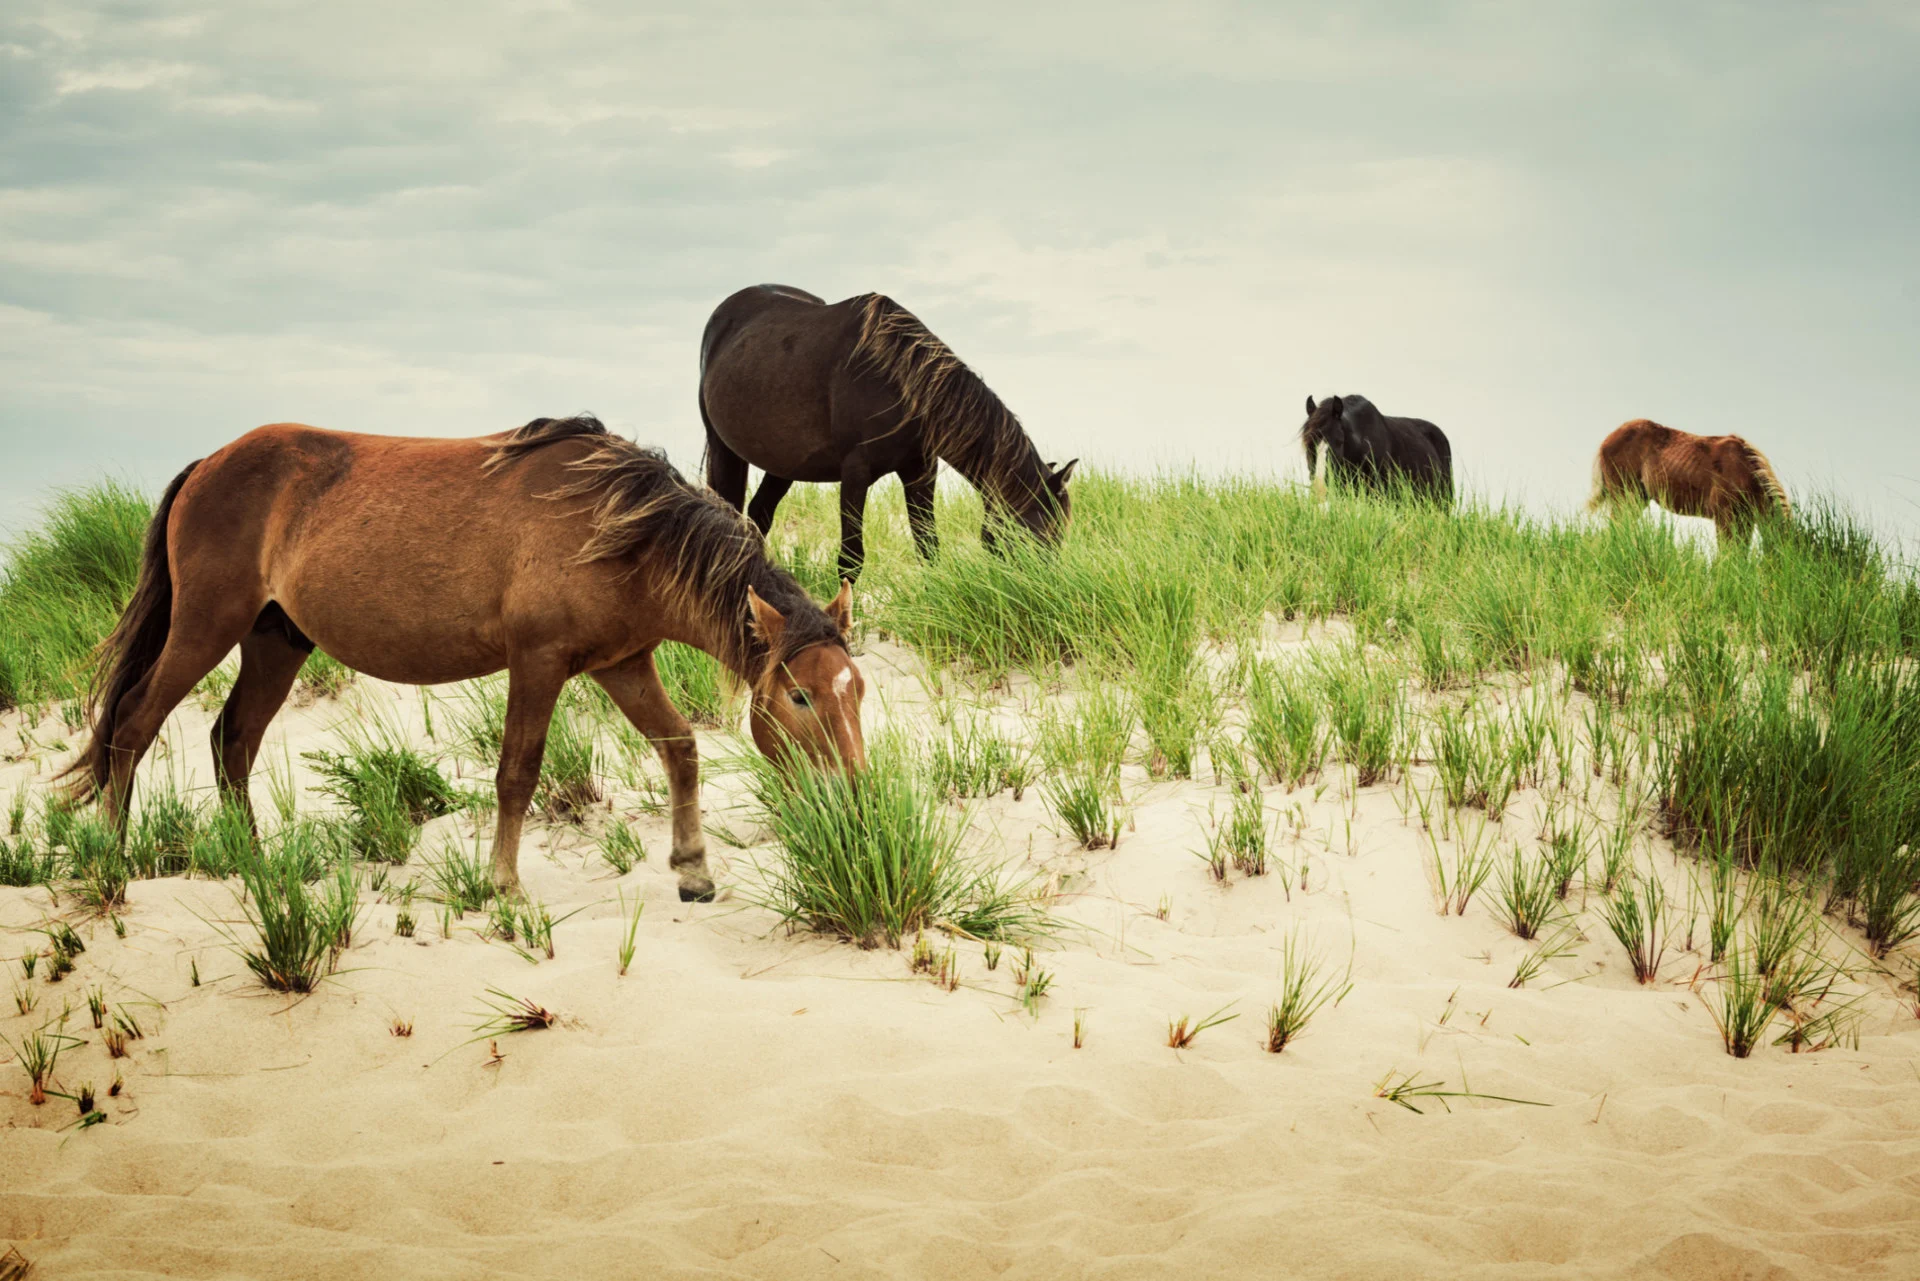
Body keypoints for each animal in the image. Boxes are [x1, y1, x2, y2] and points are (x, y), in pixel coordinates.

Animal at [58, 416, 871, 898]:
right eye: (800, 696)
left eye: (857, 691)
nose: (857, 798)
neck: (619, 527)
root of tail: (207, 465)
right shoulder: (538, 662)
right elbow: (517, 773)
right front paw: (503, 886)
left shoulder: (623, 663)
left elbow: (679, 748)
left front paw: (693, 869)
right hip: (205, 627)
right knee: (133, 724)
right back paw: (114, 862)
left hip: (273, 642)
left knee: (233, 740)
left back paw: (256, 866)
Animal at [695, 286, 1082, 580]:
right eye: (1035, 534)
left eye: (1060, 533)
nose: (1042, 589)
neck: (899, 381)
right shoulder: (855, 475)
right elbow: (850, 560)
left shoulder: (920, 472)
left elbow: (928, 547)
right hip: (724, 449)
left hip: (784, 462)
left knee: (759, 514)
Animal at [1582, 416, 1789, 545]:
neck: (1744, 470)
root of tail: (1607, 440)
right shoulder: (1725, 518)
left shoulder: (1745, 521)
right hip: (1624, 497)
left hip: (1638, 499)